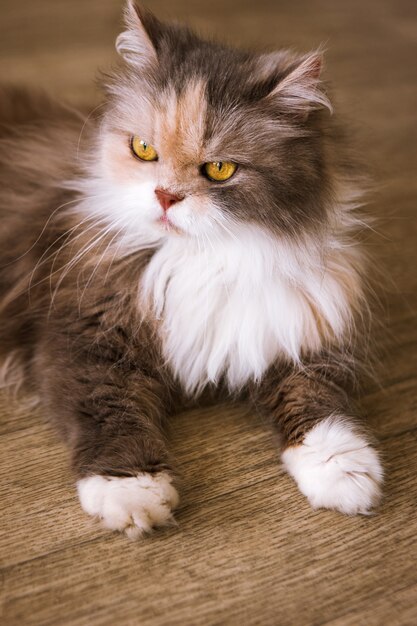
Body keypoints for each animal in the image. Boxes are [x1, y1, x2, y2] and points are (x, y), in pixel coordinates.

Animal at [0, 1, 382, 536]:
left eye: (219, 169)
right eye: (143, 149)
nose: (165, 196)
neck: (207, 257)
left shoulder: (291, 326)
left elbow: (317, 403)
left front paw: (346, 474)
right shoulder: (83, 333)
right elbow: (107, 407)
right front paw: (132, 493)